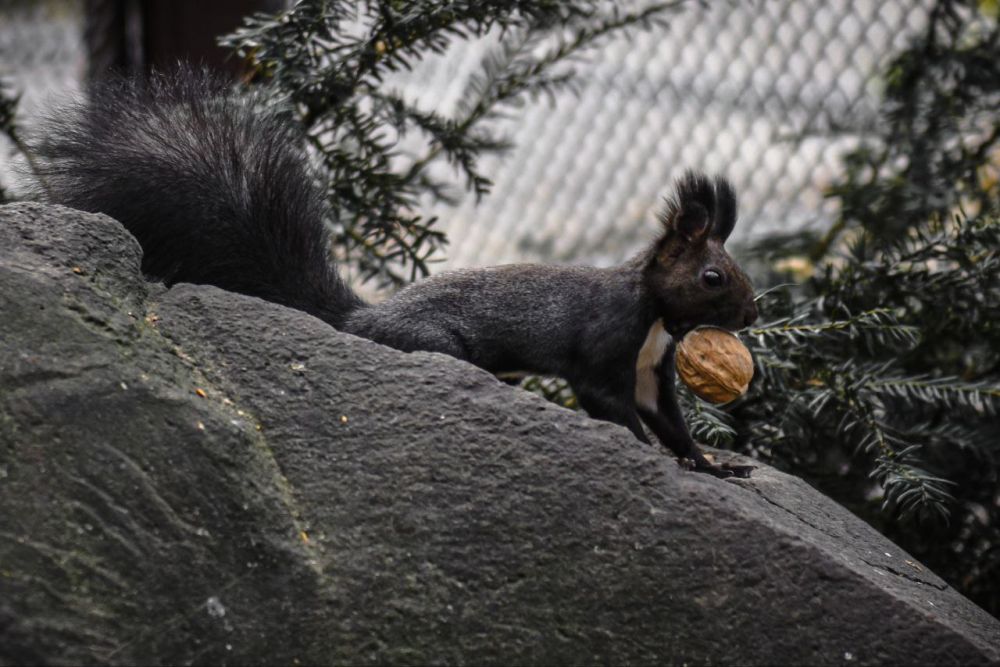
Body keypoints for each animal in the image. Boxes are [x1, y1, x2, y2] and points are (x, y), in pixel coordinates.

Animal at [27, 69, 752, 480]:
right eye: (713, 277)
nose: (750, 314)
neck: (657, 318)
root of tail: (362, 317)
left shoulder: (652, 370)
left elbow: (672, 422)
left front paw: (712, 465)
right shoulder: (605, 348)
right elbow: (612, 406)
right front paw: (647, 451)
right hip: (440, 343)